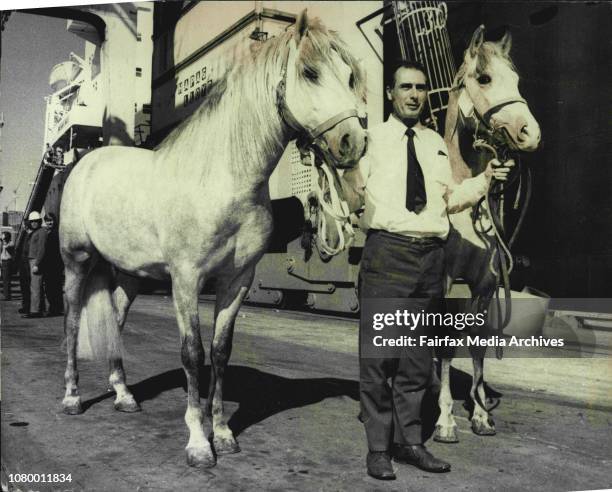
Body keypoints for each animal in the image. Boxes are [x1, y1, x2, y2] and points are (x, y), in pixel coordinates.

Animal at [61, 9, 368, 468]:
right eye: (309, 72)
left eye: (349, 76)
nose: (354, 143)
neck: (222, 180)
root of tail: (87, 162)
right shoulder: (187, 280)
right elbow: (193, 353)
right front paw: (198, 443)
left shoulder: (237, 281)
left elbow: (221, 352)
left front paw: (222, 434)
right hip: (77, 260)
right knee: (72, 318)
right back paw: (72, 398)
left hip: (130, 272)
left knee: (115, 316)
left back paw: (123, 395)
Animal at [436, 26, 540, 442]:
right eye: (483, 78)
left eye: (517, 80)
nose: (531, 133)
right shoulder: (447, 285)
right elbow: (446, 347)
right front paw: (445, 421)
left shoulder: (483, 286)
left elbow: (478, 350)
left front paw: (481, 415)